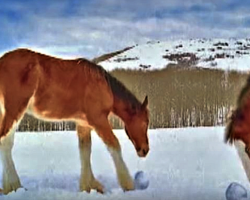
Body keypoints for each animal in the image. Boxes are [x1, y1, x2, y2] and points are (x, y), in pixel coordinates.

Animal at [0, 48, 148, 194]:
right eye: (144, 123)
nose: (145, 150)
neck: (102, 84)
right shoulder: (99, 120)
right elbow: (114, 146)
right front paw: (128, 185)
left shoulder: (83, 124)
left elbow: (85, 151)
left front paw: (88, 185)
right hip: (14, 111)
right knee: (4, 141)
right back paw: (14, 185)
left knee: (6, 144)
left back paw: (11, 187)